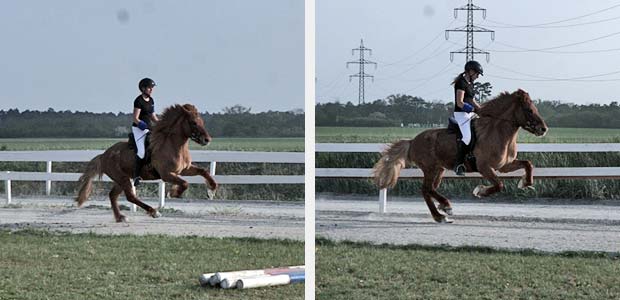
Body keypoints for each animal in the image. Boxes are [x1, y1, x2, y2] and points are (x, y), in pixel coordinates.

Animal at [75, 104, 218, 221]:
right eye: (193, 123)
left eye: (202, 121)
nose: (207, 139)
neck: (173, 146)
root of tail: (104, 155)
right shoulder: (166, 174)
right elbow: (185, 183)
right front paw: (173, 193)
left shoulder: (184, 170)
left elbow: (203, 171)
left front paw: (211, 190)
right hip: (123, 178)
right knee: (130, 196)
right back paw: (154, 212)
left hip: (122, 179)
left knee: (113, 195)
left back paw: (120, 217)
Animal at [372, 89, 548, 223]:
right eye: (529, 110)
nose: (543, 129)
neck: (497, 132)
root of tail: (413, 141)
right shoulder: (485, 167)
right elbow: (499, 185)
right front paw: (480, 191)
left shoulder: (504, 166)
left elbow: (528, 164)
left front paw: (525, 183)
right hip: (430, 168)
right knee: (427, 189)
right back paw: (444, 210)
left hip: (439, 170)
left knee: (429, 189)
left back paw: (441, 212)